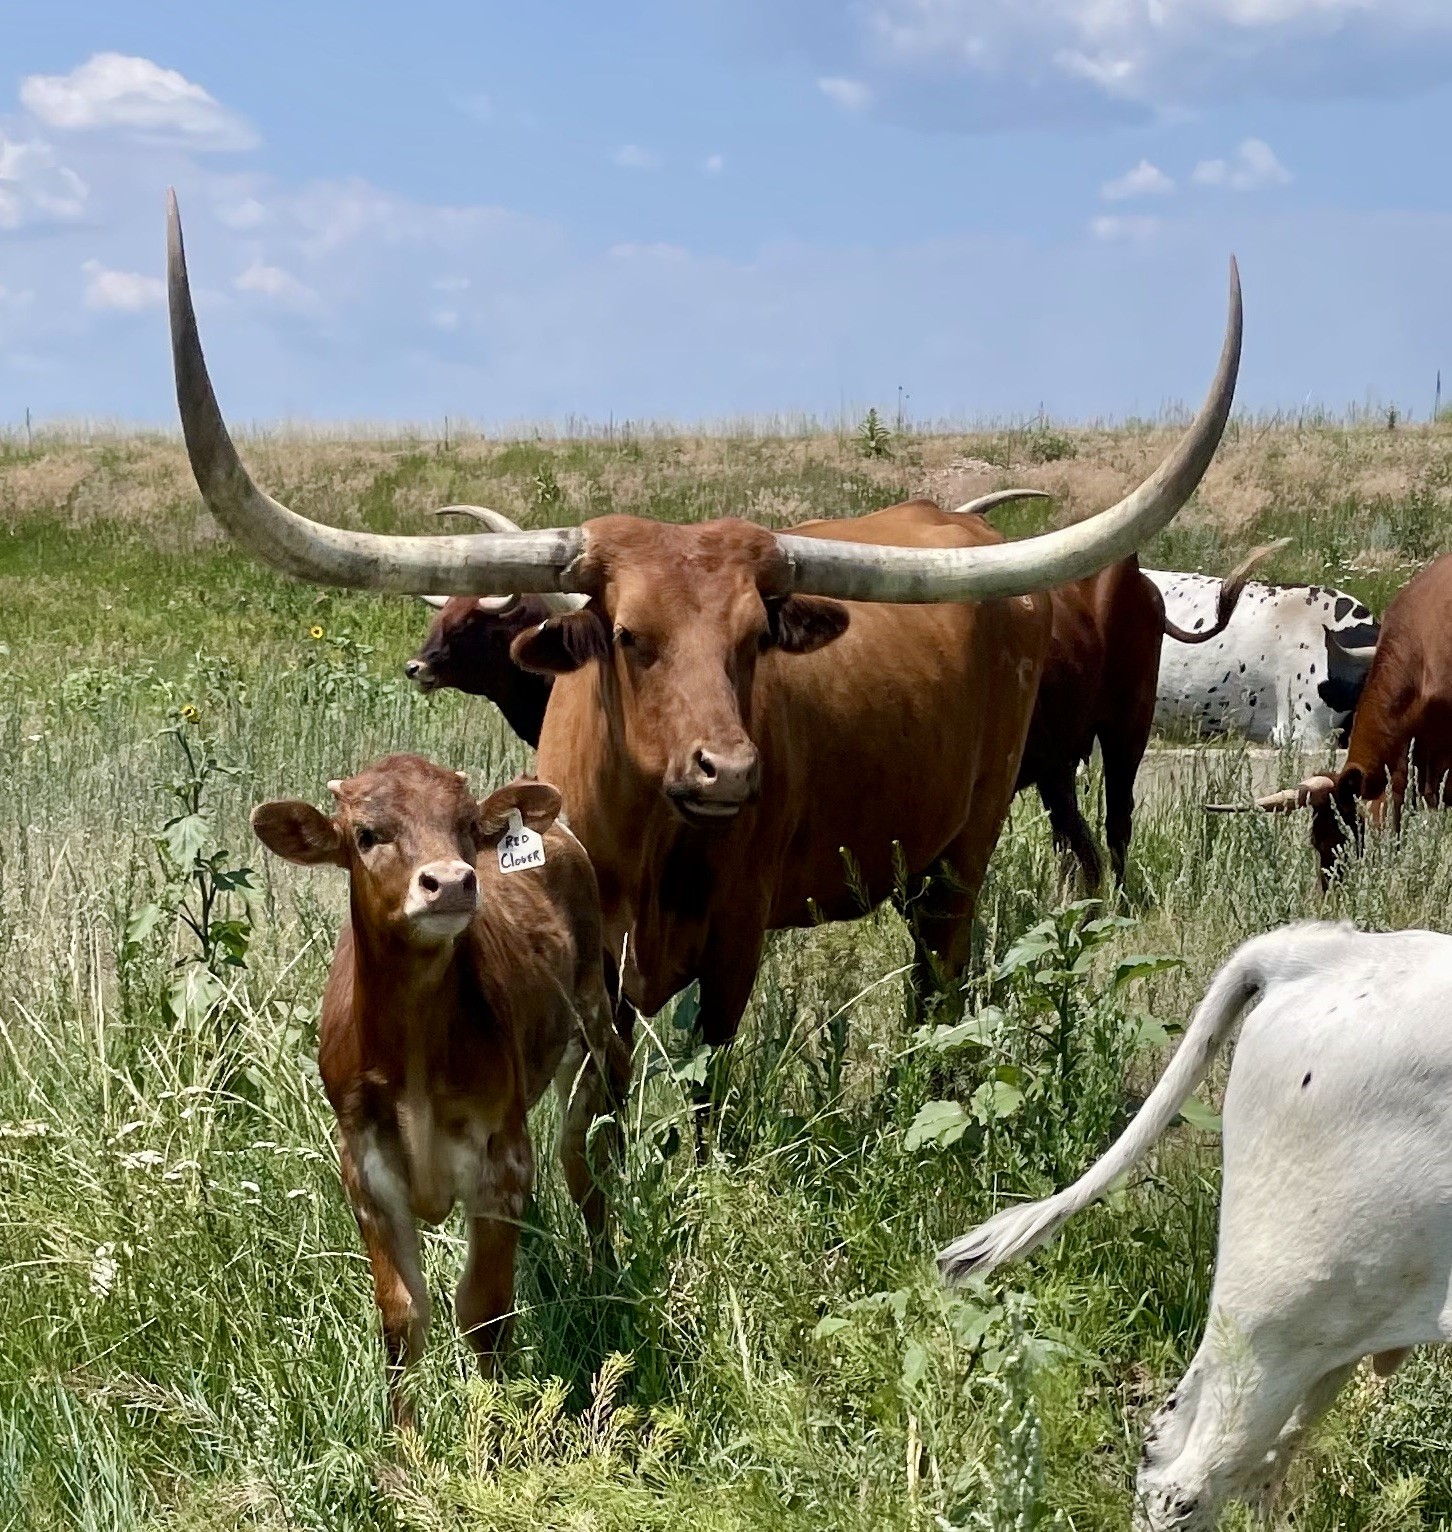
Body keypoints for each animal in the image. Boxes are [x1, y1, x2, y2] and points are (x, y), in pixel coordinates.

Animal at [167, 189, 1242, 1070]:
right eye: (627, 635)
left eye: (755, 638)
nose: (726, 769)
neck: (650, 837)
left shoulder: (736, 937)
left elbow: (708, 1086)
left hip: (978, 837)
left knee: (957, 959)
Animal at [251, 754, 630, 1425]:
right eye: (366, 834)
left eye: (467, 827)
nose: (451, 883)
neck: (414, 1056)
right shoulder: (365, 1168)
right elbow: (402, 1317)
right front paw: (404, 1448)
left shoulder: (501, 1156)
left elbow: (485, 1314)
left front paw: (495, 1434)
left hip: (590, 1024)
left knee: (584, 1160)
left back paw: (604, 1273)